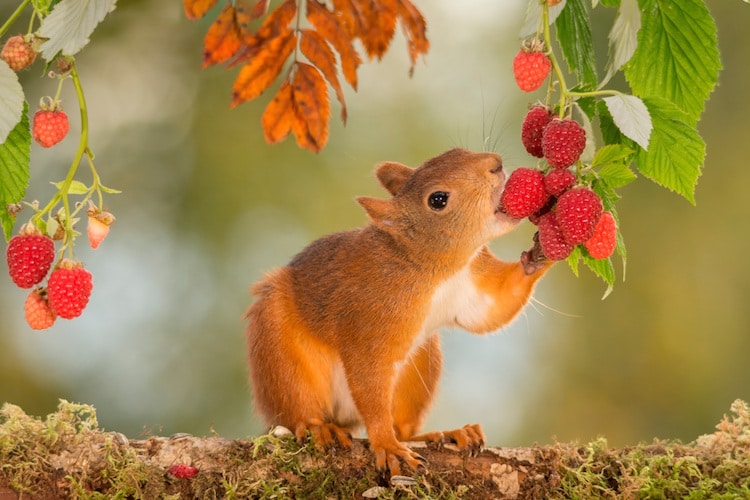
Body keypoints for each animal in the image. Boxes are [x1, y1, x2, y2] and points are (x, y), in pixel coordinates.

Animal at [245, 146, 552, 474]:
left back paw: (448, 433)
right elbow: (369, 381)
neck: (435, 269)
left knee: (404, 428)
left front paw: (541, 252)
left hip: (420, 365)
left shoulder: (471, 285)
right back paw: (319, 427)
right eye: (438, 199)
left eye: (455, 151)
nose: (495, 164)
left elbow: (494, 309)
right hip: (280, 354)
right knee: (297, 409)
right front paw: (386, 445)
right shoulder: (369, 320)